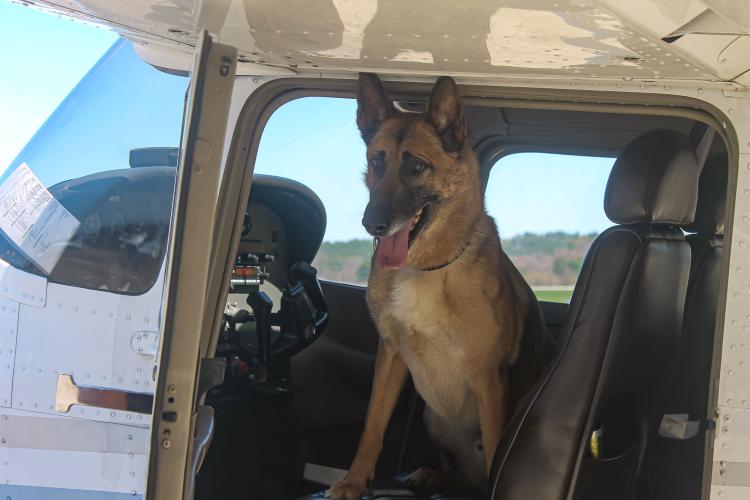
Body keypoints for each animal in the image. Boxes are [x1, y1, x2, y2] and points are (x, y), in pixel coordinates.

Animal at [328, 74, 552, 500]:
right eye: (377, 161)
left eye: (416, 166)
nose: (371, 224)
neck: (425, 269)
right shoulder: (390, 354)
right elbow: (373, 425)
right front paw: (354, 481)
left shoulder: (487, 378)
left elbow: (497, 448)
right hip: (434, 417)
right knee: (468, 474)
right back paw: (433, 476)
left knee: (485, 469)